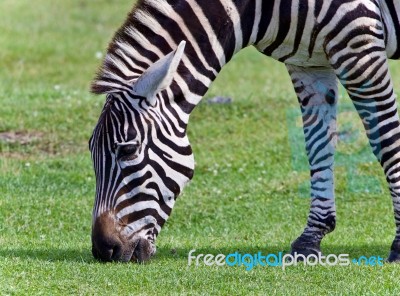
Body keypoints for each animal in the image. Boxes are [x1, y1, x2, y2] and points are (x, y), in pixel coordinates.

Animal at [90, 0, 400, 264]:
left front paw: (398, 245)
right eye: (91, 151)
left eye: (128, 150)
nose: (103, 250)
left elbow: (387, 140)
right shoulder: (308, 63)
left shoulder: (358, 43)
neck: (257, 9)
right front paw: (310, 239)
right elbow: (317, 146)